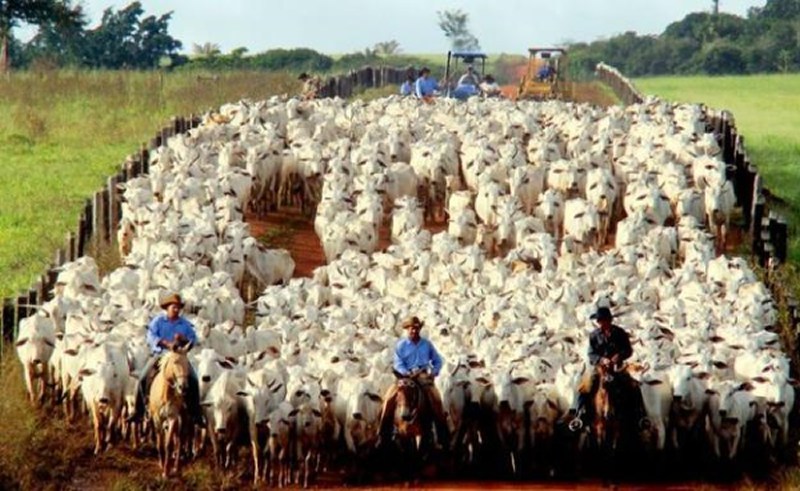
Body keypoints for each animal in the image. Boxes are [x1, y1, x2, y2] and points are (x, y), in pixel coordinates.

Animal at [147, 346, 192, 476]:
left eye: (187, 363)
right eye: (175, 362)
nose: (183, 387)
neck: (166, 394)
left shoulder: (173, 418)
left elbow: (169, 444)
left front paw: (166, 471)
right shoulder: (157, 418)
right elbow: (160, 443)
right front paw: (161, 464)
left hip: (184, 418)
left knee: (180, 439)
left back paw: (176, 466)